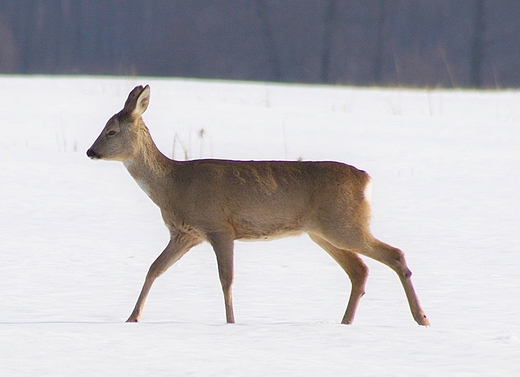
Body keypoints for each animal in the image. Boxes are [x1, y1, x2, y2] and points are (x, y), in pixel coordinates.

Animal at [86, 83, 430, 324]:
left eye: (111, 131)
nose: (91, 151)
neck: (174, 186)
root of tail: (365, 179)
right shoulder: (185, 234)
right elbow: (153, 269)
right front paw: (132, 317)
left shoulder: (219, 227)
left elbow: (226, 279)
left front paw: (231, 322)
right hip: (322, 232)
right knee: (359, 270)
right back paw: (345, 322)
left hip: (344, 224)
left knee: (394, 254)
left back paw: (421, 318)